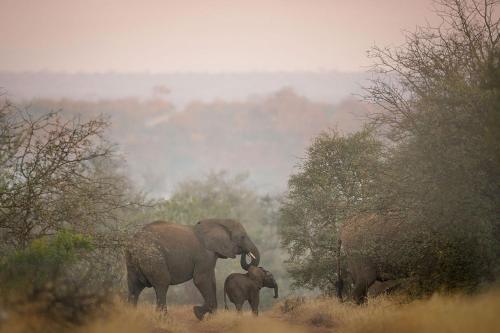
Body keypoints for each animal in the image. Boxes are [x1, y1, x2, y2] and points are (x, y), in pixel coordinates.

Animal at [125, 218, 260, 320]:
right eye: (242, 237)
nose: (246, 252)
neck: (218, 221)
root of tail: (133, 242)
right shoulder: (205, 254)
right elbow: (201, 280)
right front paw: (198, 314)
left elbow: (211, 280)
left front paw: (211, 317)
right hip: (153, 257)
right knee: (161, 284)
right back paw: (164, 319)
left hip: (132, 261)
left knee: (134, 287)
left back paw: (131, 316)